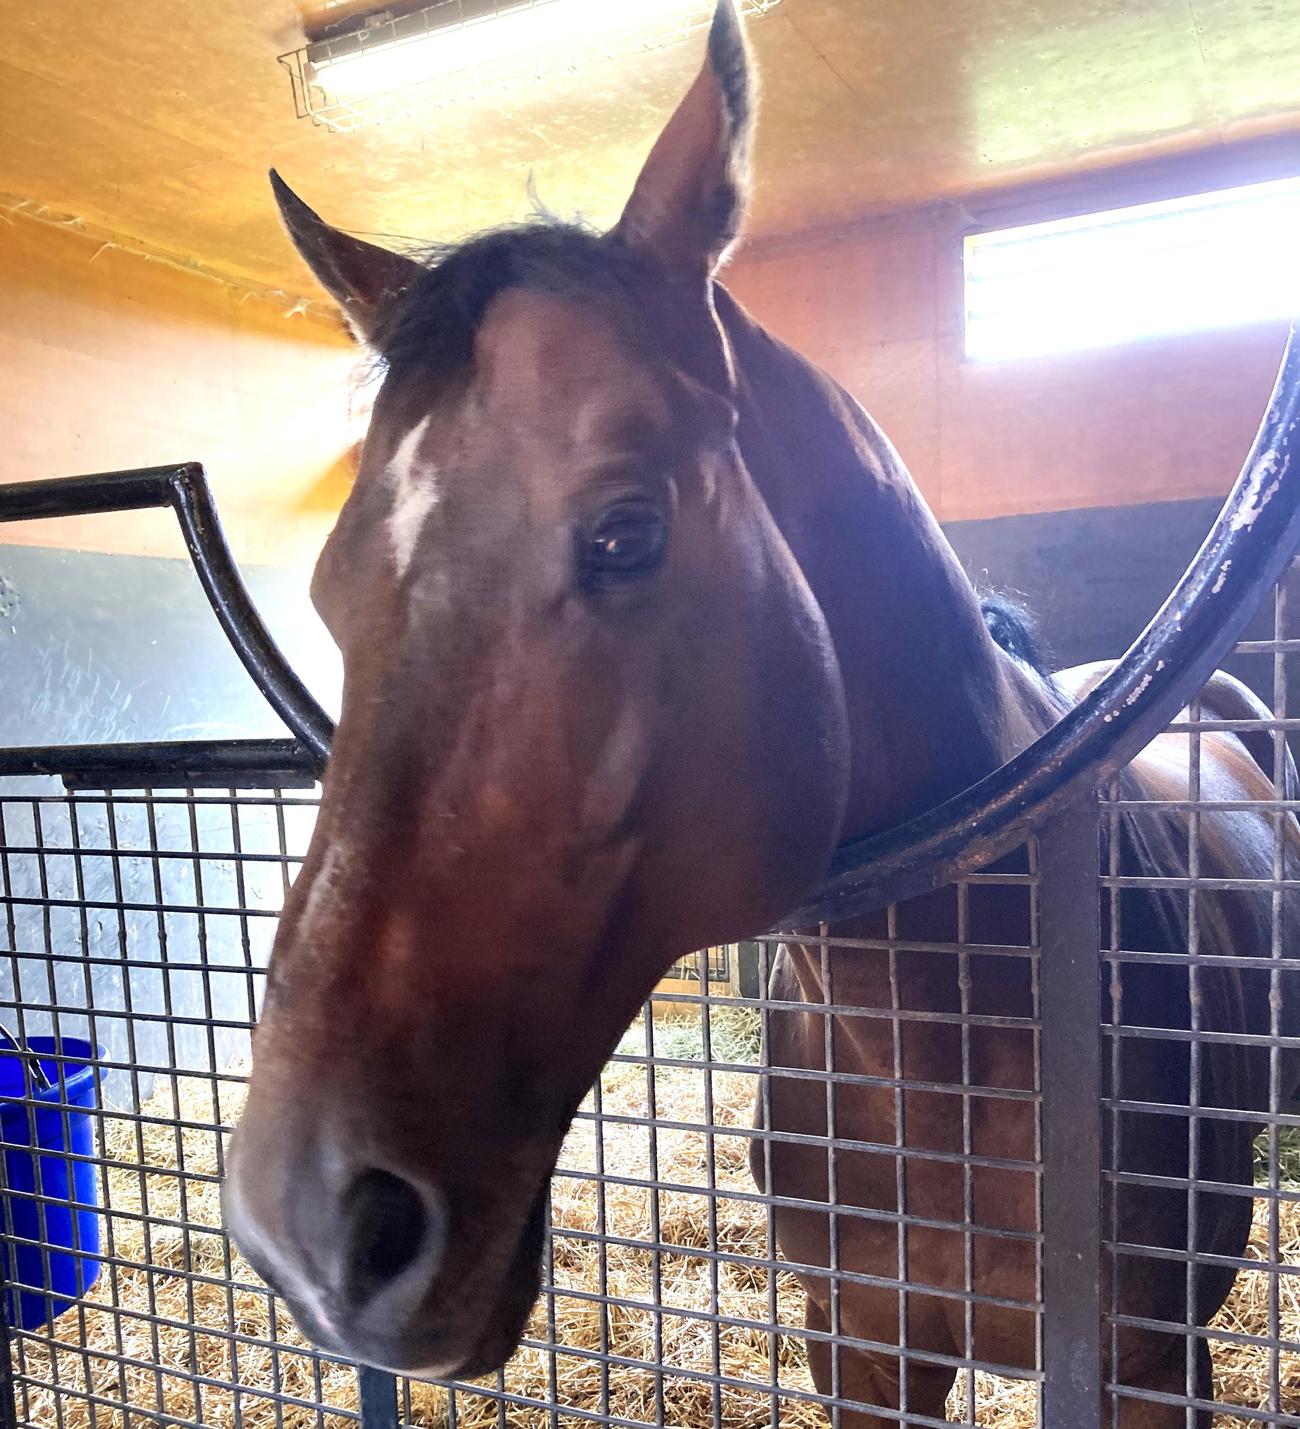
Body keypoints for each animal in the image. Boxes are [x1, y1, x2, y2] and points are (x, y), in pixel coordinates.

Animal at [223, 5, 1299, 1423]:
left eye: (626, 533)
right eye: (328, 586)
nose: (310, 1226)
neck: (950, 1036)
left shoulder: (1150, 1364)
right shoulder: (862, 1349)